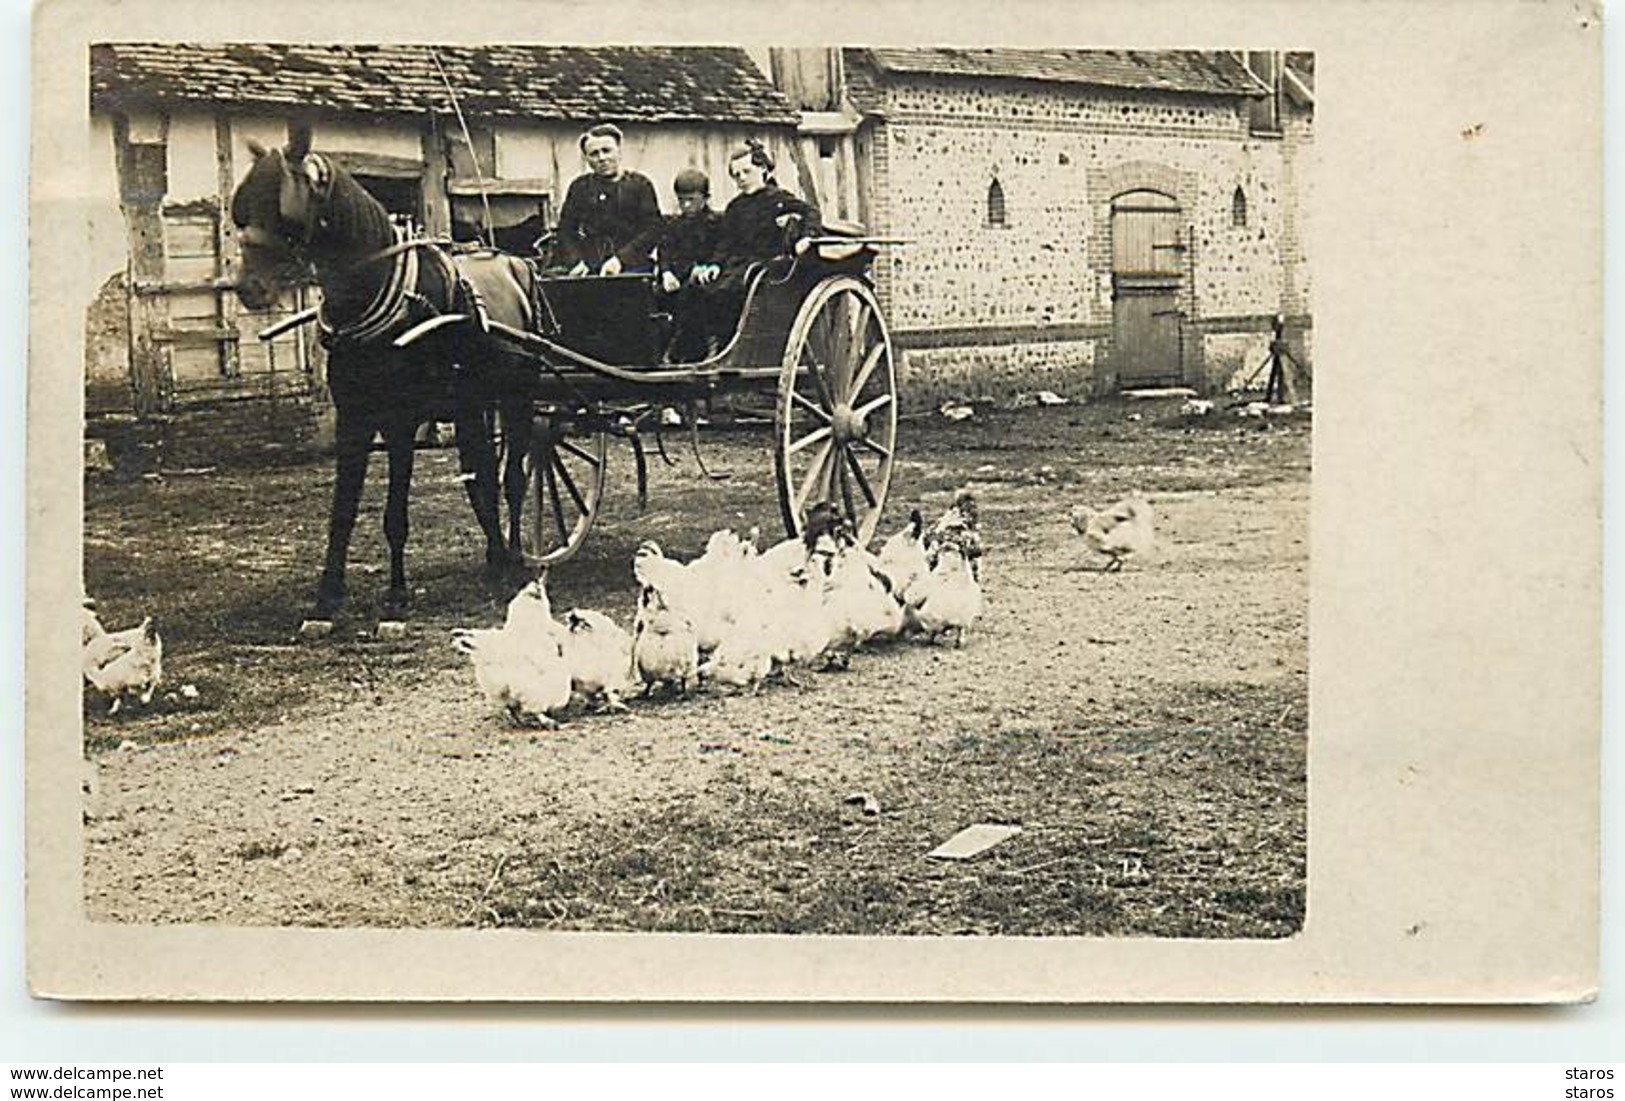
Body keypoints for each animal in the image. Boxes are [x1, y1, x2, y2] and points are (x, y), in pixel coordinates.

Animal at [230, 125, 539, 626]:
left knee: (512, 478)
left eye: (286, 214)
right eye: (240, 206)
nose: (248, 289)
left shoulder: (400, 421)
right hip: (471, 403)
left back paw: (513, 555)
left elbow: (395, 511)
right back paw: (494, 555)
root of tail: (516, 264)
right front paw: (329, 594)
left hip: (517, 399)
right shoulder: (354, 418)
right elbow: (342, 511)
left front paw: (397, 590)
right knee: (481, 473)